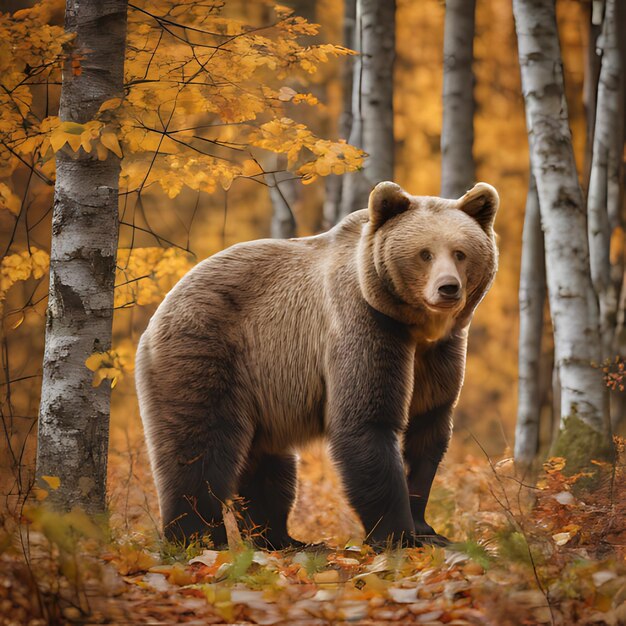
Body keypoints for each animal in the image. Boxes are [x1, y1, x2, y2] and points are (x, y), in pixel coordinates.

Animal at [135, 179, 498, 544]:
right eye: (424, 253)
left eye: (460, 252)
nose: (448, 288)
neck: (415, 327)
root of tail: (160, 309)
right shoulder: (364, 324)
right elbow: (367, 421)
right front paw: (397, 533)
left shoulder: (439, 354)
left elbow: (428, 427)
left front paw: (425, 528)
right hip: (205, 350)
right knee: (198, 444)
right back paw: (197, 536)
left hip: (262, 386)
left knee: (268, 462)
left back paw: (280, 537)